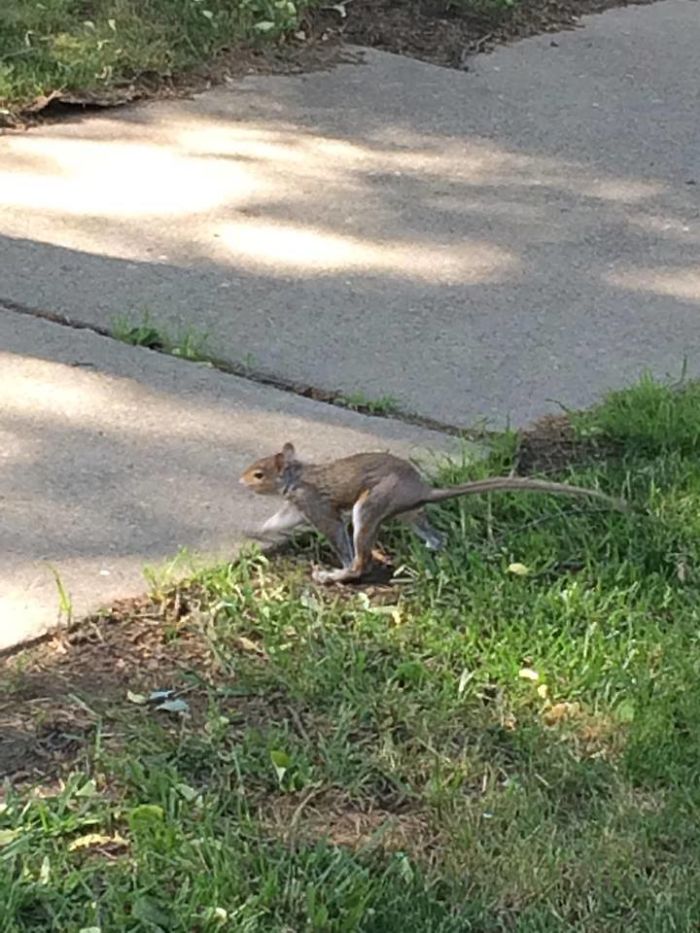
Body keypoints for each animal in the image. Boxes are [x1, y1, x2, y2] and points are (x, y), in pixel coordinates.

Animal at [239, 442, 626, 585]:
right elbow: (278, 521)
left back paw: (337, 575)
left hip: (371, 506)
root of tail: (420, 490)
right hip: (409, 515)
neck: (296, 476)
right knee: (437, 536)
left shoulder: (316, 506)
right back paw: (434, 551)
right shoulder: (295, 506)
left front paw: (338, 566)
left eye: (258, 474)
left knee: (362, 558)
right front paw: (254, 531)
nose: (240, 480)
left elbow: (333, 530)